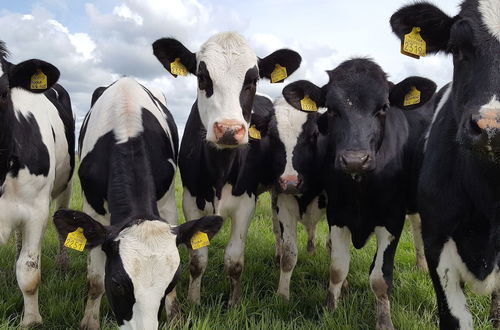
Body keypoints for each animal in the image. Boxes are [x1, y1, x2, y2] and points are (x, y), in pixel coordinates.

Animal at [54, 76, 221, 328]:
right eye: (116, 284)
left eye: (171, 283)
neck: (127, 131)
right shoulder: (92, 209)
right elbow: (95, 279)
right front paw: (90, 322)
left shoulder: (167, 203)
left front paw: (175, 316)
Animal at [151, 32, 300, 306]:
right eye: (202, 76)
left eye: (252, 80)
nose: (229, 129)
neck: (219, 171)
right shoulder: (191, 200)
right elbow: (198, 259)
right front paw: (194, 300)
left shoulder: (246, 203)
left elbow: (234, 260)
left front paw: (235, 302)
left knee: (278, 226)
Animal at [282, 58, 438, 328]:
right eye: (332, 109)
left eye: (383, 107)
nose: (355, 160)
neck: (359, 189)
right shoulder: (337, 215)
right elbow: (337, 268)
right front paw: (331, 311)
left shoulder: (392, 220)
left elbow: (380, 278)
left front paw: (384, 321)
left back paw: (422, 266)